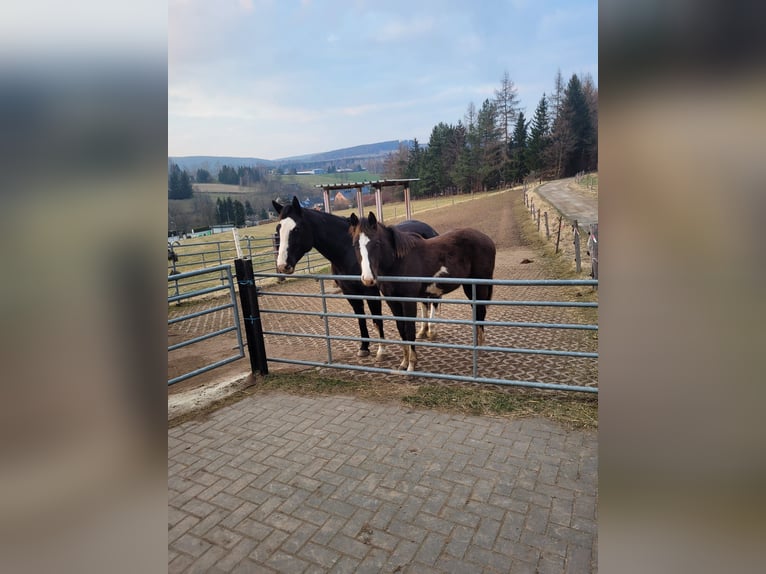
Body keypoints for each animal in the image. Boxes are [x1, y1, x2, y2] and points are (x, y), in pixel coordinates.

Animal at [271, 196, 439, 358]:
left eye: (296, 229)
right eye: (278, 229)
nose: (282, 265)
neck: (347, 252)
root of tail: (427, 228)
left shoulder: (371, 292)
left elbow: (377, 319)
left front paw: (381, 350)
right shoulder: (350, 293)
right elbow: (360, 318)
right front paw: (364, 347)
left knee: (433, 301)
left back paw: (431, 330)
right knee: (424, 302)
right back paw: (423, 330)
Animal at [349, 211, 496, 372]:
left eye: (376, 243)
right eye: (355, 244)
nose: (368, 279)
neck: (398, 262)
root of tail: (487, 239)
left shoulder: (408, 301)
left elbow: (410, 329)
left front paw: (412, 364)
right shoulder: (392, 301)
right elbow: (401, 329)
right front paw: (404, 362)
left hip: (480, 285)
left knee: (481, 312)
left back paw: (480, 348)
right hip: (470, 286)